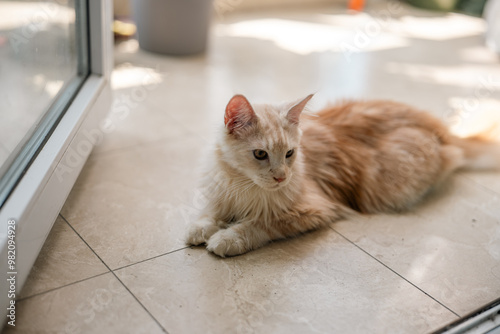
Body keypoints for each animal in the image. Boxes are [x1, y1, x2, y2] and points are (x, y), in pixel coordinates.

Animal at [185, 94, 500, 258]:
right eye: (260, 154)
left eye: (290, 154)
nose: (281, 177)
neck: (242, 185)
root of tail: (445, 131)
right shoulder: (220, 191)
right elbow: (209, 212)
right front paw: (200, 228)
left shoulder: (312, 209)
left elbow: (259, 224)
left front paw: (227, 238)